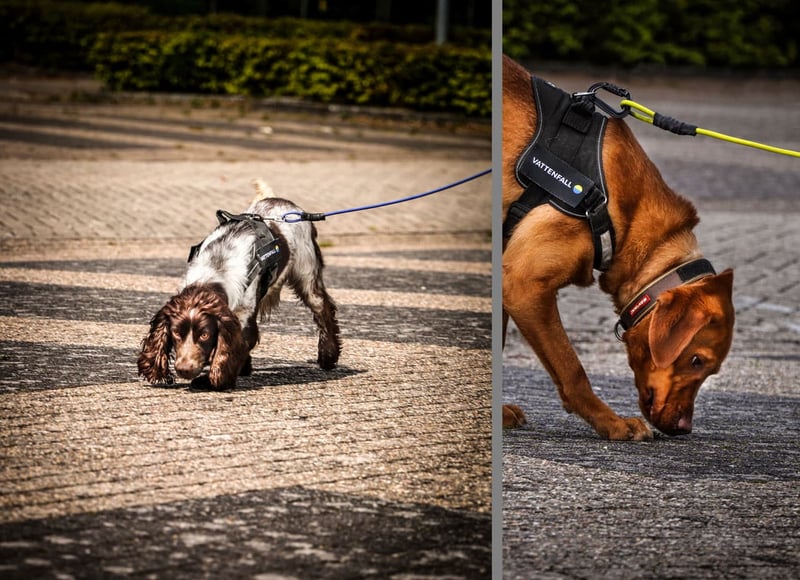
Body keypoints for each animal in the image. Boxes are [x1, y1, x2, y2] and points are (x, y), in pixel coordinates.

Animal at [504, 57, 736, 440]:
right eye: (696, 360)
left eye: (710, 370)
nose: (683, 428)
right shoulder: (523, 284)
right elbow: (573, 370)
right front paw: (613, 424)